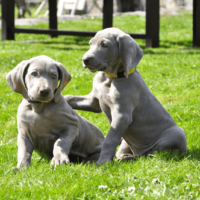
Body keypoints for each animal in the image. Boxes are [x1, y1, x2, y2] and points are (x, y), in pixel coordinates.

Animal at [65, 27, 188, 166]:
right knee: (130, 152)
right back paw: (125, 157)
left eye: (105, 45)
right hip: (126, 141)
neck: (110, 79)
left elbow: (110, 139)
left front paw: (103, 162)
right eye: (90, 43)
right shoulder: (94, 102)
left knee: (153, 154)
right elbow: (70, 97)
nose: (85, 59)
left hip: (177, 134)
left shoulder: (122, 116)